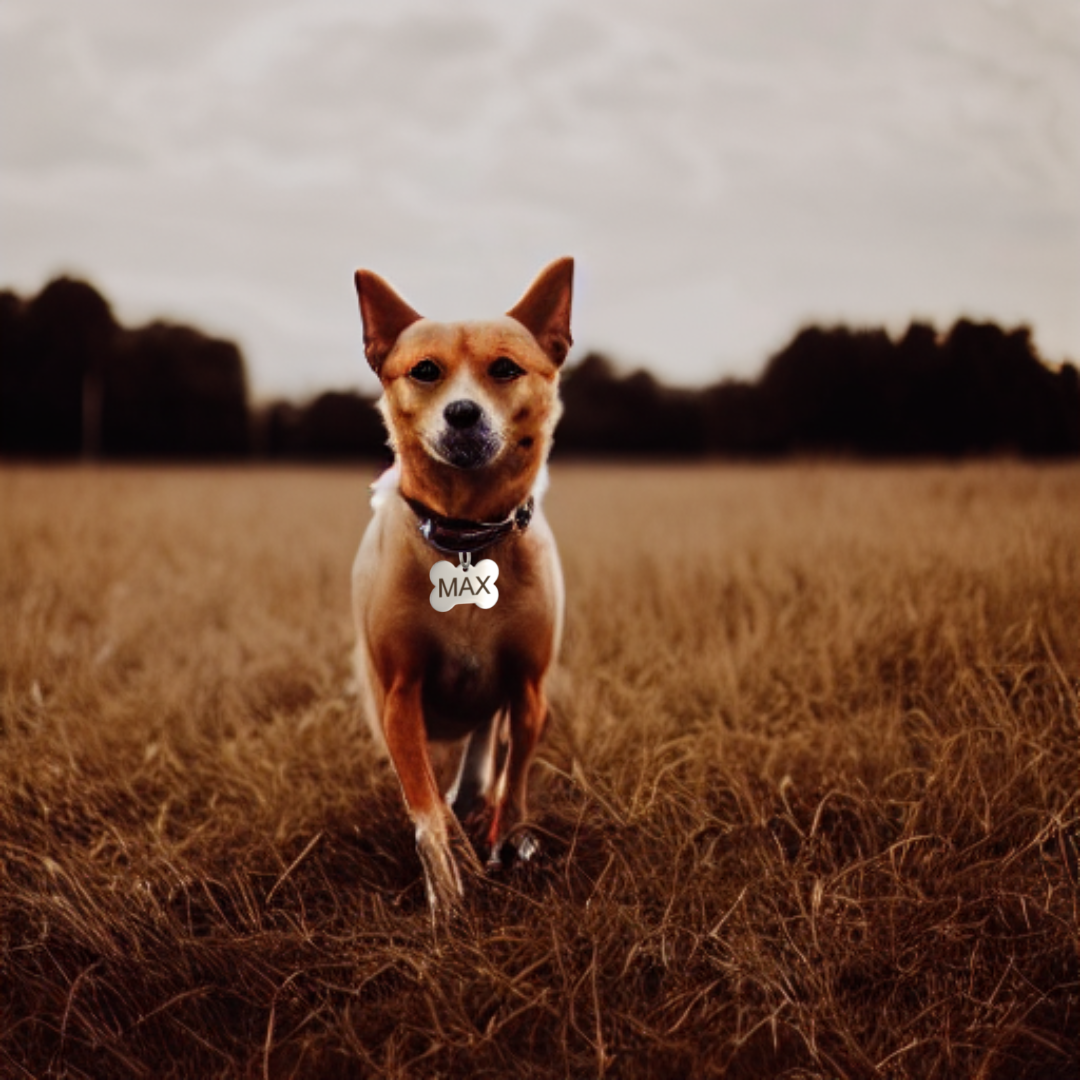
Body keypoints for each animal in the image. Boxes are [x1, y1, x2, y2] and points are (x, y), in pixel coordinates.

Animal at [354, 259, 574, 911]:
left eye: (505, 368)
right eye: (424, 370)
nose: (463, 413)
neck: (467, 536)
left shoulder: (529, 688)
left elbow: (516, 781)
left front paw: (510, 841)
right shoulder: (399, 697)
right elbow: (424, 802)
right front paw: (449, 882)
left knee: (484, 745)